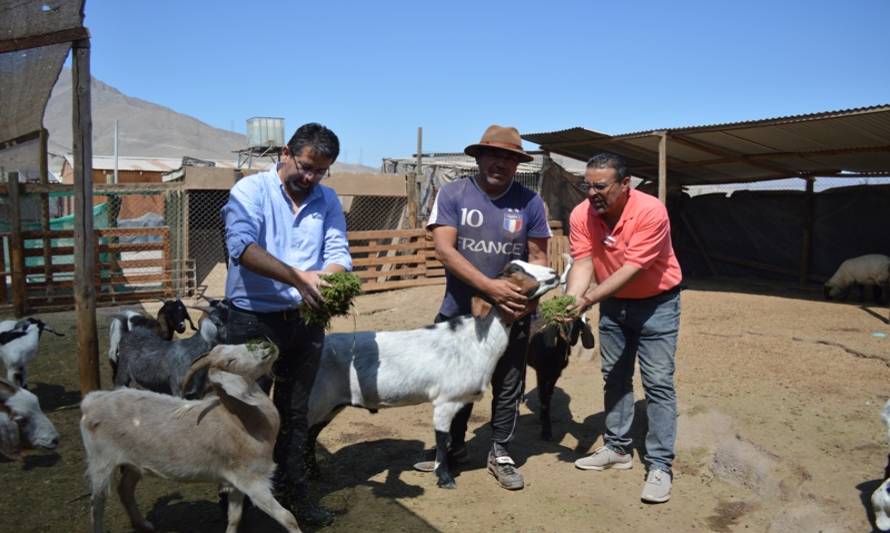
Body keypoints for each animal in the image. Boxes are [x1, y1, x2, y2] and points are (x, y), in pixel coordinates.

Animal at [77, 340, 298, 532]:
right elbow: (288, 518)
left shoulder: (236, 481)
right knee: (96, 504)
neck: (242, 420)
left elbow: (235, 518)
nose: (266, 345)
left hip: (133, 463)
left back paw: (144, 525)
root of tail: (91, 401)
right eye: (230, 361)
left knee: (125, 490)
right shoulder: (252, 480)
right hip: (101, 462)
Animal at [302, 260, 560, 488]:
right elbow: (442, 439)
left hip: (330, 405)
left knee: (309, 436)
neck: (476, 339)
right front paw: (445, 479)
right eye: (515, 270)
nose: (554, 272)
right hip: (316, 401)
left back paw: (314, 473)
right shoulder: (445, 401)